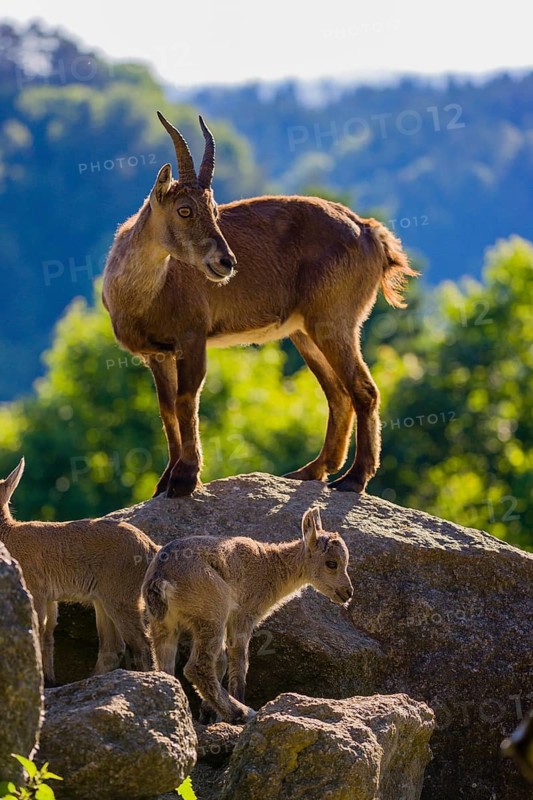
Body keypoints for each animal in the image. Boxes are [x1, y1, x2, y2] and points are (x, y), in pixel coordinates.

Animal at [0, 458, 159, 684]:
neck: (9, 535)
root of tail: (152, 549)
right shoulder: (50, 599)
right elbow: (48, 635)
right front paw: (49, 681)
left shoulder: (35, 591)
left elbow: (37, 629)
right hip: (102, 601)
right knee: (113, 648)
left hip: (120, 599)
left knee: (141, 643)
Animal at [102, 112, 417, 499]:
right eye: (185, 210)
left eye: (215, 211)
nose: (226, 262)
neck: (144, 294)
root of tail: (371, 232)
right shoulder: (157, 354)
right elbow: (166, 409)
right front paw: (164, 482)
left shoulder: (192, 337)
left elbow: (186, 400)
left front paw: (185, 479)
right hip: (305, 331)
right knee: (338, 392)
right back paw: (310, 471)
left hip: (334, 320)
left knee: (364, 389)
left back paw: (353, 478)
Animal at [142, 507, 353, 724]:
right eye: (331, 563)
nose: (348, 592)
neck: (271, 567)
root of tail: (161, 578)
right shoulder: (243, 616)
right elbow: (240, 662)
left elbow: (222, 662)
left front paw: (209, 712)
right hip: (213, 613)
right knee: (197, 667)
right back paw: (241, 712)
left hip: (164, 625)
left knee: (166, 668)